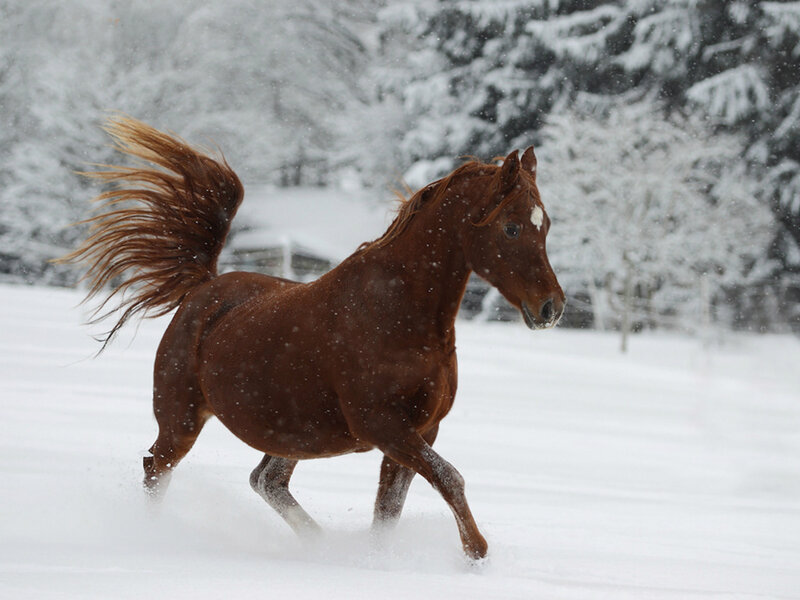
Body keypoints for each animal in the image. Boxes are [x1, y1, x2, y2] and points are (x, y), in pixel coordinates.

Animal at [63, 117, 565, 560]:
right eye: (511, 227)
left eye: (545, 225)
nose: (551, 308)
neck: (399, 315)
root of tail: (204, 287)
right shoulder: (384, 427)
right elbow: (450, 479)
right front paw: (476, 554)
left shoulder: (421, 430)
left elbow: (391, 508)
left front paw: (379, 561)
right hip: (181, 419)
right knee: (157, 470)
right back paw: (152, 538)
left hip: (289, 432)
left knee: (266, 480)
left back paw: (319, 544)